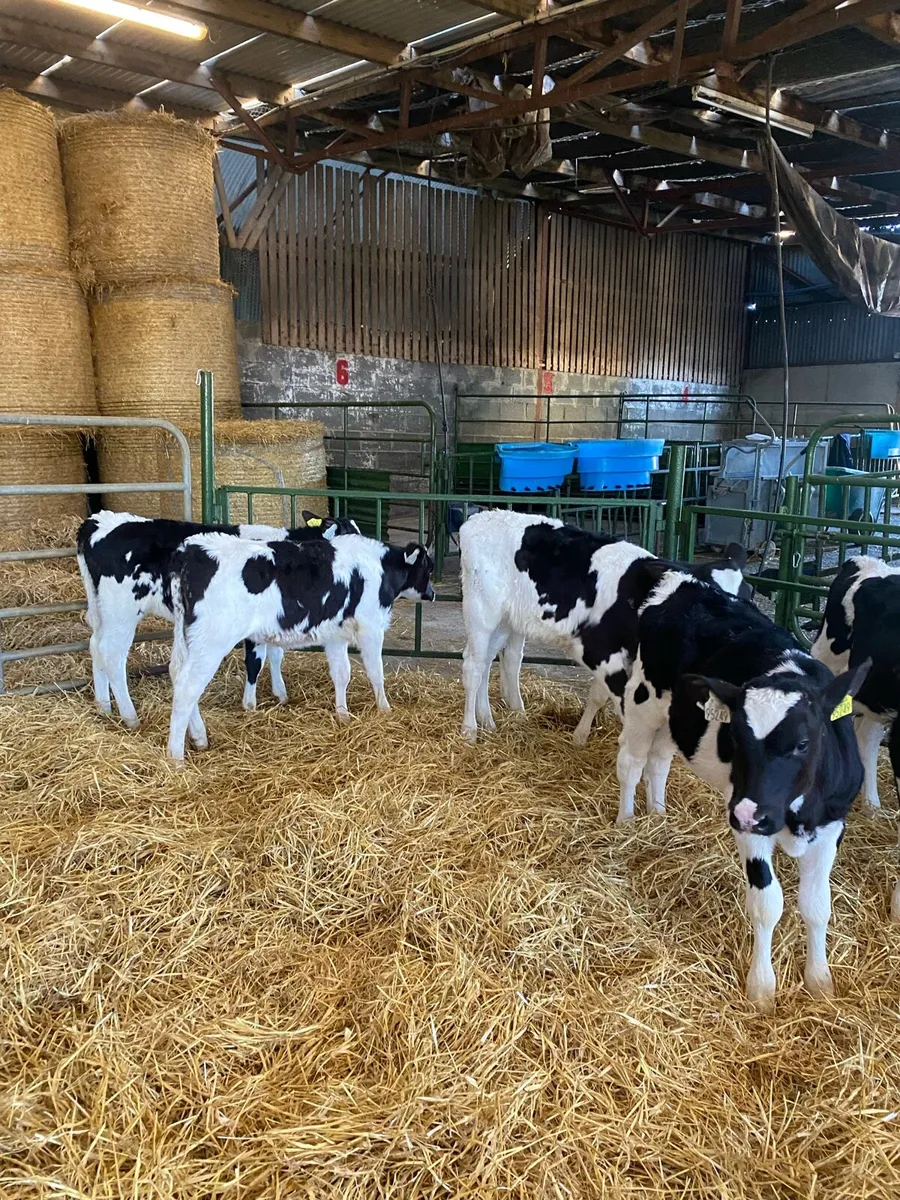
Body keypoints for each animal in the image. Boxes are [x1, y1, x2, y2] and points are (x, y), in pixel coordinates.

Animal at [76, 509, 359, 727]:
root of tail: (98, 521)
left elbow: (276, 654)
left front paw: (280, 694)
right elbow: (255, 661)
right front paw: (250, 705)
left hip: (102, 609)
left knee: (95, 647)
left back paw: (104, 707)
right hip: (121, 611)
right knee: (112, 654)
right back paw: (131, 717)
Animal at [166, 531, 435, 762]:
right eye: (427, 568)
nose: (432, 594)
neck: (379, 568)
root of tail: (191, 547)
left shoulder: (335, 633)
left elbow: (342, 674)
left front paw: (343, 714)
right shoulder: (370, 627)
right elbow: (376, 672)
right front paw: (385, 709)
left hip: (188, 636)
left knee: (177, 673)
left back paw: (199, 738)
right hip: (212, 639)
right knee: (188, 686)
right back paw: (176, 756)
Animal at [458, 509, 749, 746]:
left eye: (746, 595)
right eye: (702, 603)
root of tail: (479, 518)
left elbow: (599, 695)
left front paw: (580, 737)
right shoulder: (600, 649)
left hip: (505, 621)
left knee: (488, 661)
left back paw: (489, 720)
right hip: (482, 613)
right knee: (473, 665)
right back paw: (470, 731)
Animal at [615, 565, 868, 1008]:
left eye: (803, 742)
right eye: (735, 736)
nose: (751, 812)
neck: (795, 813)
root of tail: (681, 578)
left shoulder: (832, 825)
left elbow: (817, 904)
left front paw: (819, 980)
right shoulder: (748, 828)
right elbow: (768, 904)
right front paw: (762, 987)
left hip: (679, 719)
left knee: (659, 760)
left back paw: (658, 814)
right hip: (644, 699)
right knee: (631, 762)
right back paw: (627, 821)